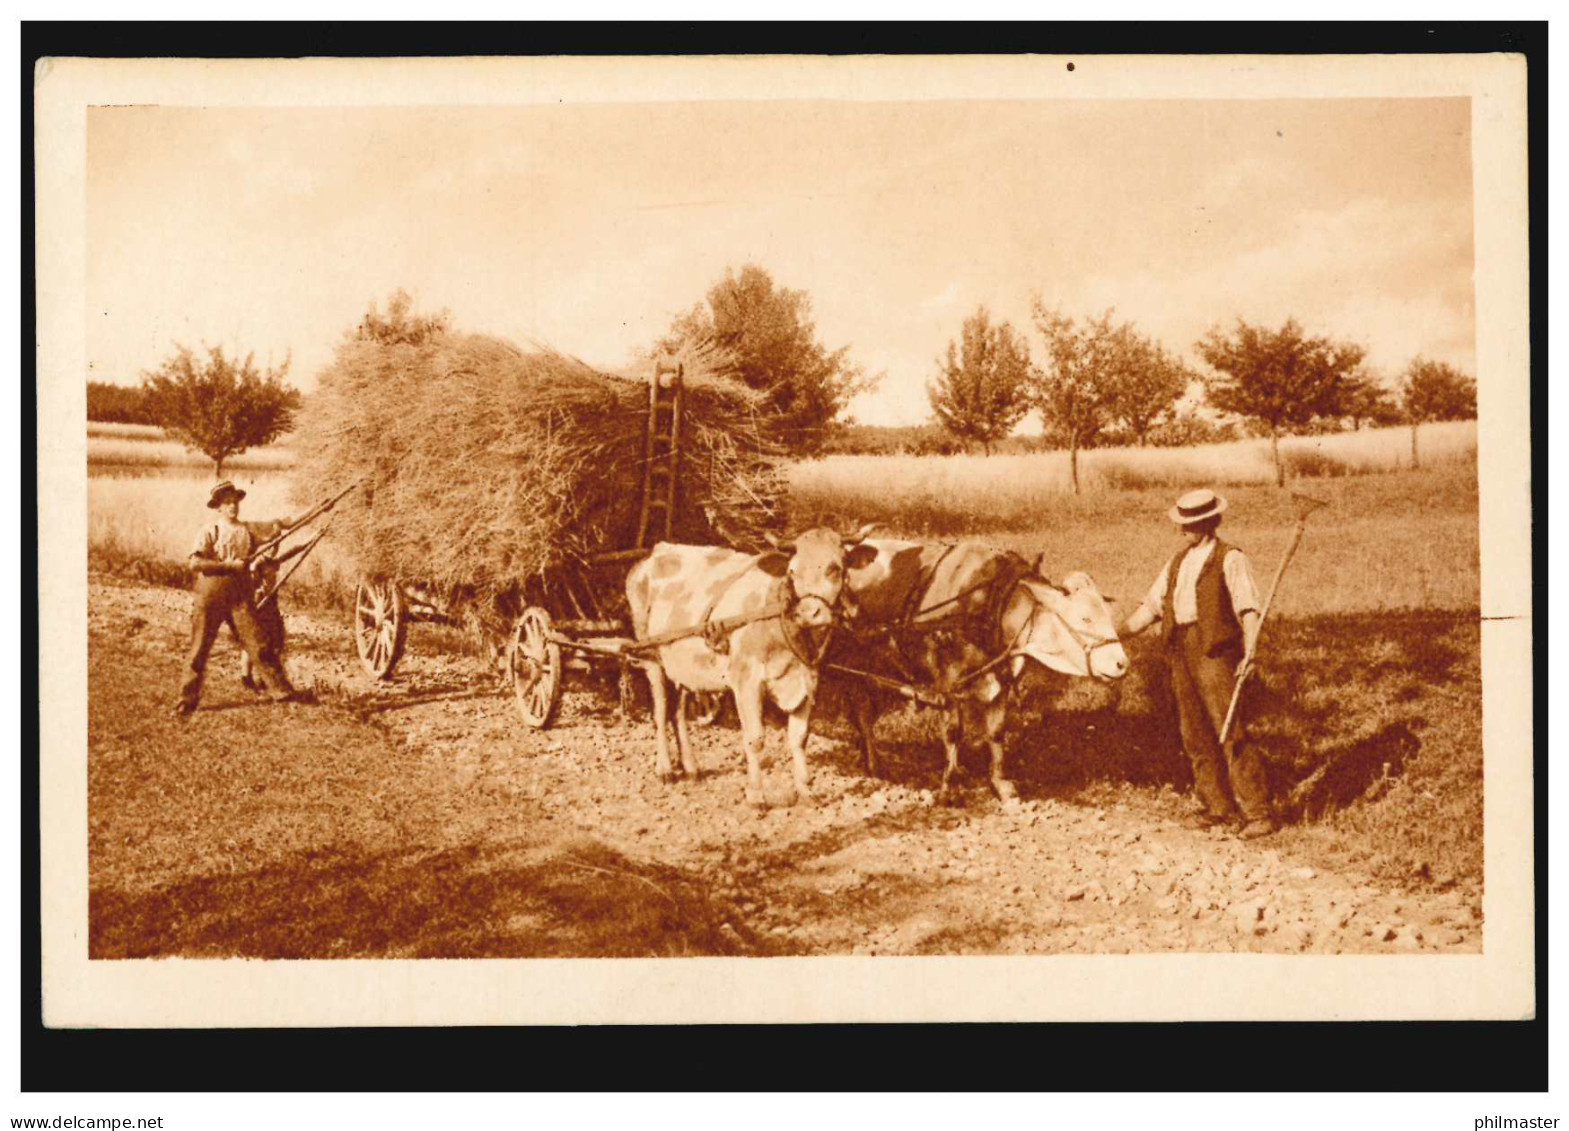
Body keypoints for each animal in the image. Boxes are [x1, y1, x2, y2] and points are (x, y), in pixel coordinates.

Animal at [624, 523, 878, 809]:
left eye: (835, 567)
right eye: (792, 571)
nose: (809, 613)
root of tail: (657, 550)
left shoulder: (808, 681)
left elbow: (800, 738)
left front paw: (805, 790)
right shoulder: (747, 681)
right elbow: (755, 739)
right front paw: (756, 795)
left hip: (684, 663)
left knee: (678, 711)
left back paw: (691, 767)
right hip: (652, 656)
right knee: (660, 710)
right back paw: (665, 769)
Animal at [834, 539, 1129, 803]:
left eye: (1108, 615)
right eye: (1085, 618)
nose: (1122, 663)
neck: (988, 605)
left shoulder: (1003, 682)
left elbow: (996, 731)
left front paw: (1001, 785)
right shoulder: (948, 683)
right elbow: (953, 732)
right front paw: (950, 786)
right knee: (862, 710)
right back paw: (874, 763)